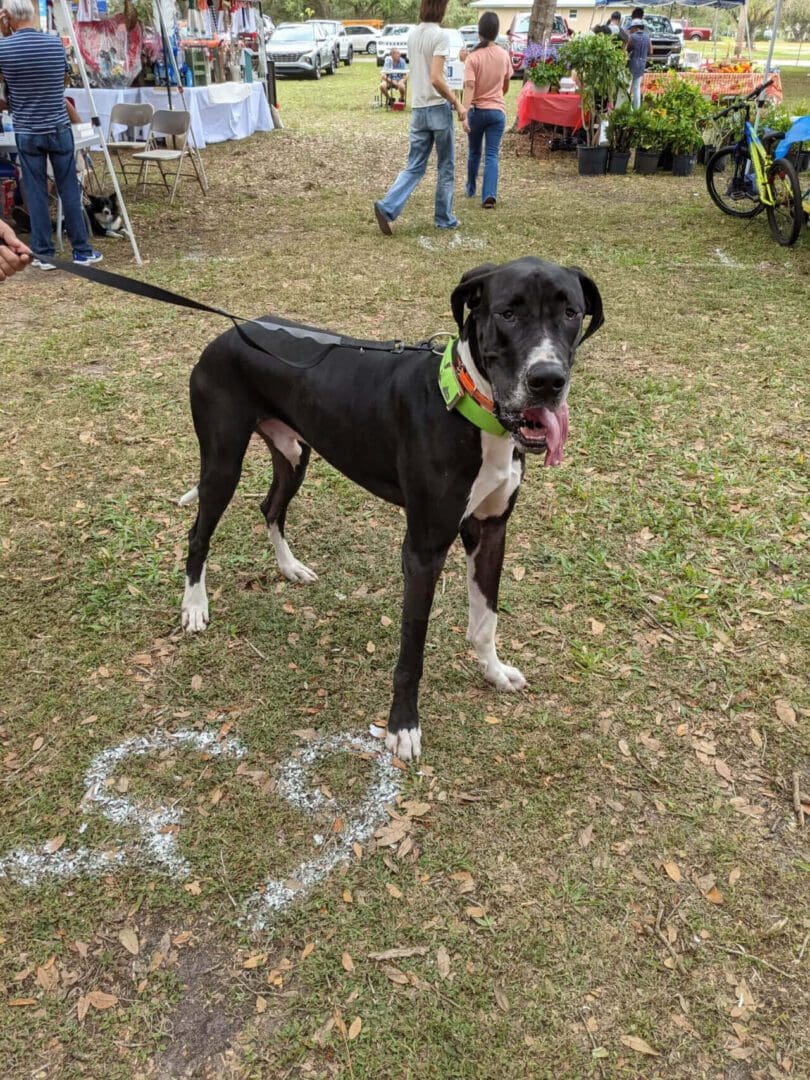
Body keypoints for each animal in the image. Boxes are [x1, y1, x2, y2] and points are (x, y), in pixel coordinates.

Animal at [180, 254, 604, 760]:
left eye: (570, 312)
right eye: (507, 313)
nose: (547, 380)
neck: (469, 409)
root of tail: (227, 334)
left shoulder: (491, 530)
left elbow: (485, 619)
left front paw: (494, 672)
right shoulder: (424, 549)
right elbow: (412, 648)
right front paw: (403, 725)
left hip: (294, 453)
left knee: (270, 507)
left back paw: (290, 567)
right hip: (222, 464)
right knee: (199, 532)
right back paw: (194, 606)